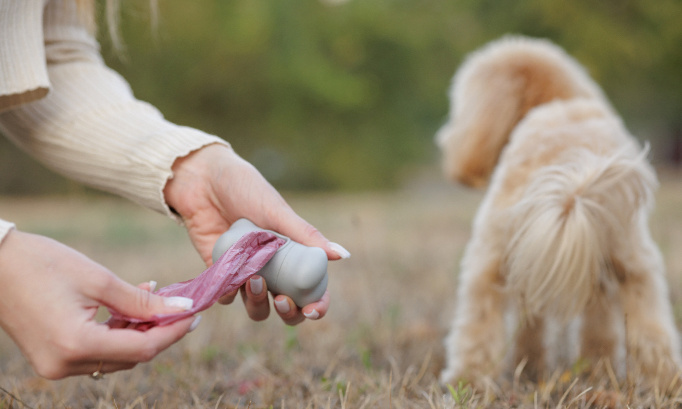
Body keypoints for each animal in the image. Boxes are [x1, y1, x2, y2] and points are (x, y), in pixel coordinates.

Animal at [436, 36, 680, 388]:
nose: (444, 137)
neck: (555, 98)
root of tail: (569, 167)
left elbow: (532, 326)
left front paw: (532, 365)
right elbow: (597, 328)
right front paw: (593, 366)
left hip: (491, 253)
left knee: (477, 323)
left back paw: (465, 380)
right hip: (627, 256)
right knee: (651, 328)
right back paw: (663, 379)